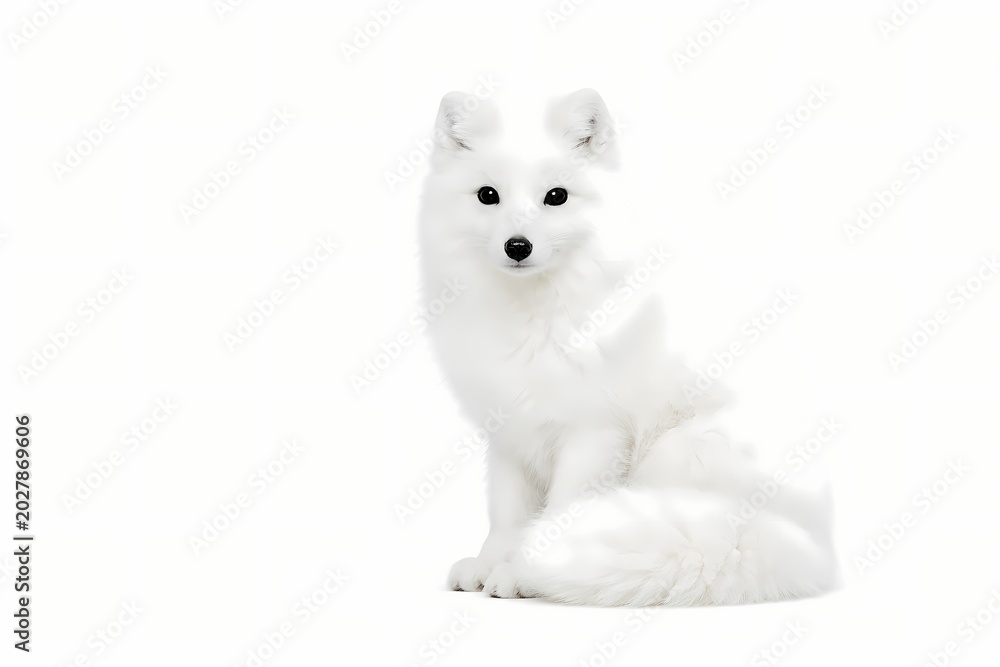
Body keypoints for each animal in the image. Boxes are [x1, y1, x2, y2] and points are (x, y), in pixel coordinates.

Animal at [417, 88, 838, 606]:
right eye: (487, 195)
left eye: (556, 196)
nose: (518, 246)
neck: (533, 314)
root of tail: (820, 543)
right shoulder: (509, 432)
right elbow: (506, 514)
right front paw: (490, 562)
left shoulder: (594, 432)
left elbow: (558, 513)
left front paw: (520, 572)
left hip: (681, 451)